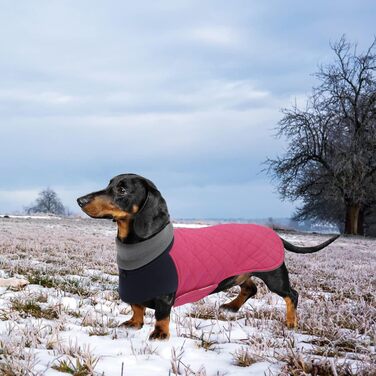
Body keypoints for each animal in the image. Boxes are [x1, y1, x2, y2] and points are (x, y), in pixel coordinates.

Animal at [76, 173, 338, 340]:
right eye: (109, 183)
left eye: (122, 189)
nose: (80, 200)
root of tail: (274, 234)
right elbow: (136, 306)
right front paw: (134, 322)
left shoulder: (165, 292)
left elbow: (161, 314)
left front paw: (160, 334)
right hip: (241, 274)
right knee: (250, 289)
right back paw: (231, 307)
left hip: (274, 275)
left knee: (291, 294)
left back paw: (291, 322)